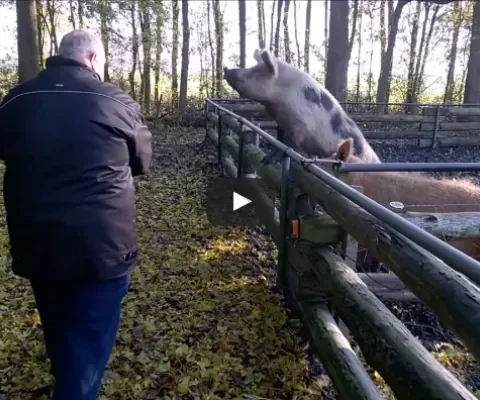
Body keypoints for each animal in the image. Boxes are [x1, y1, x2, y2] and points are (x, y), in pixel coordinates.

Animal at [223, 48, 380, 164]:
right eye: (253, 67)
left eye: (255, 71)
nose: (226, 68)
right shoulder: (282, 122)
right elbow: (280, 139)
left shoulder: (300, 124)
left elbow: (288, 144)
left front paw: (268, 160)